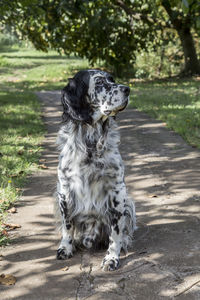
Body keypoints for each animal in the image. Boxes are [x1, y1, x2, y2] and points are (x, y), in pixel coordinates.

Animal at [56, 69, 138, 270]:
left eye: (112, 80)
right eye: (100, 82)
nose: (127, 89)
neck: (91, 142)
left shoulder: (117, 191)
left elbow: (115, 233)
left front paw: (112, 257)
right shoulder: (64, 190)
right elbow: (67, 226)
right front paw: (66, 247)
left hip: (129, 204)